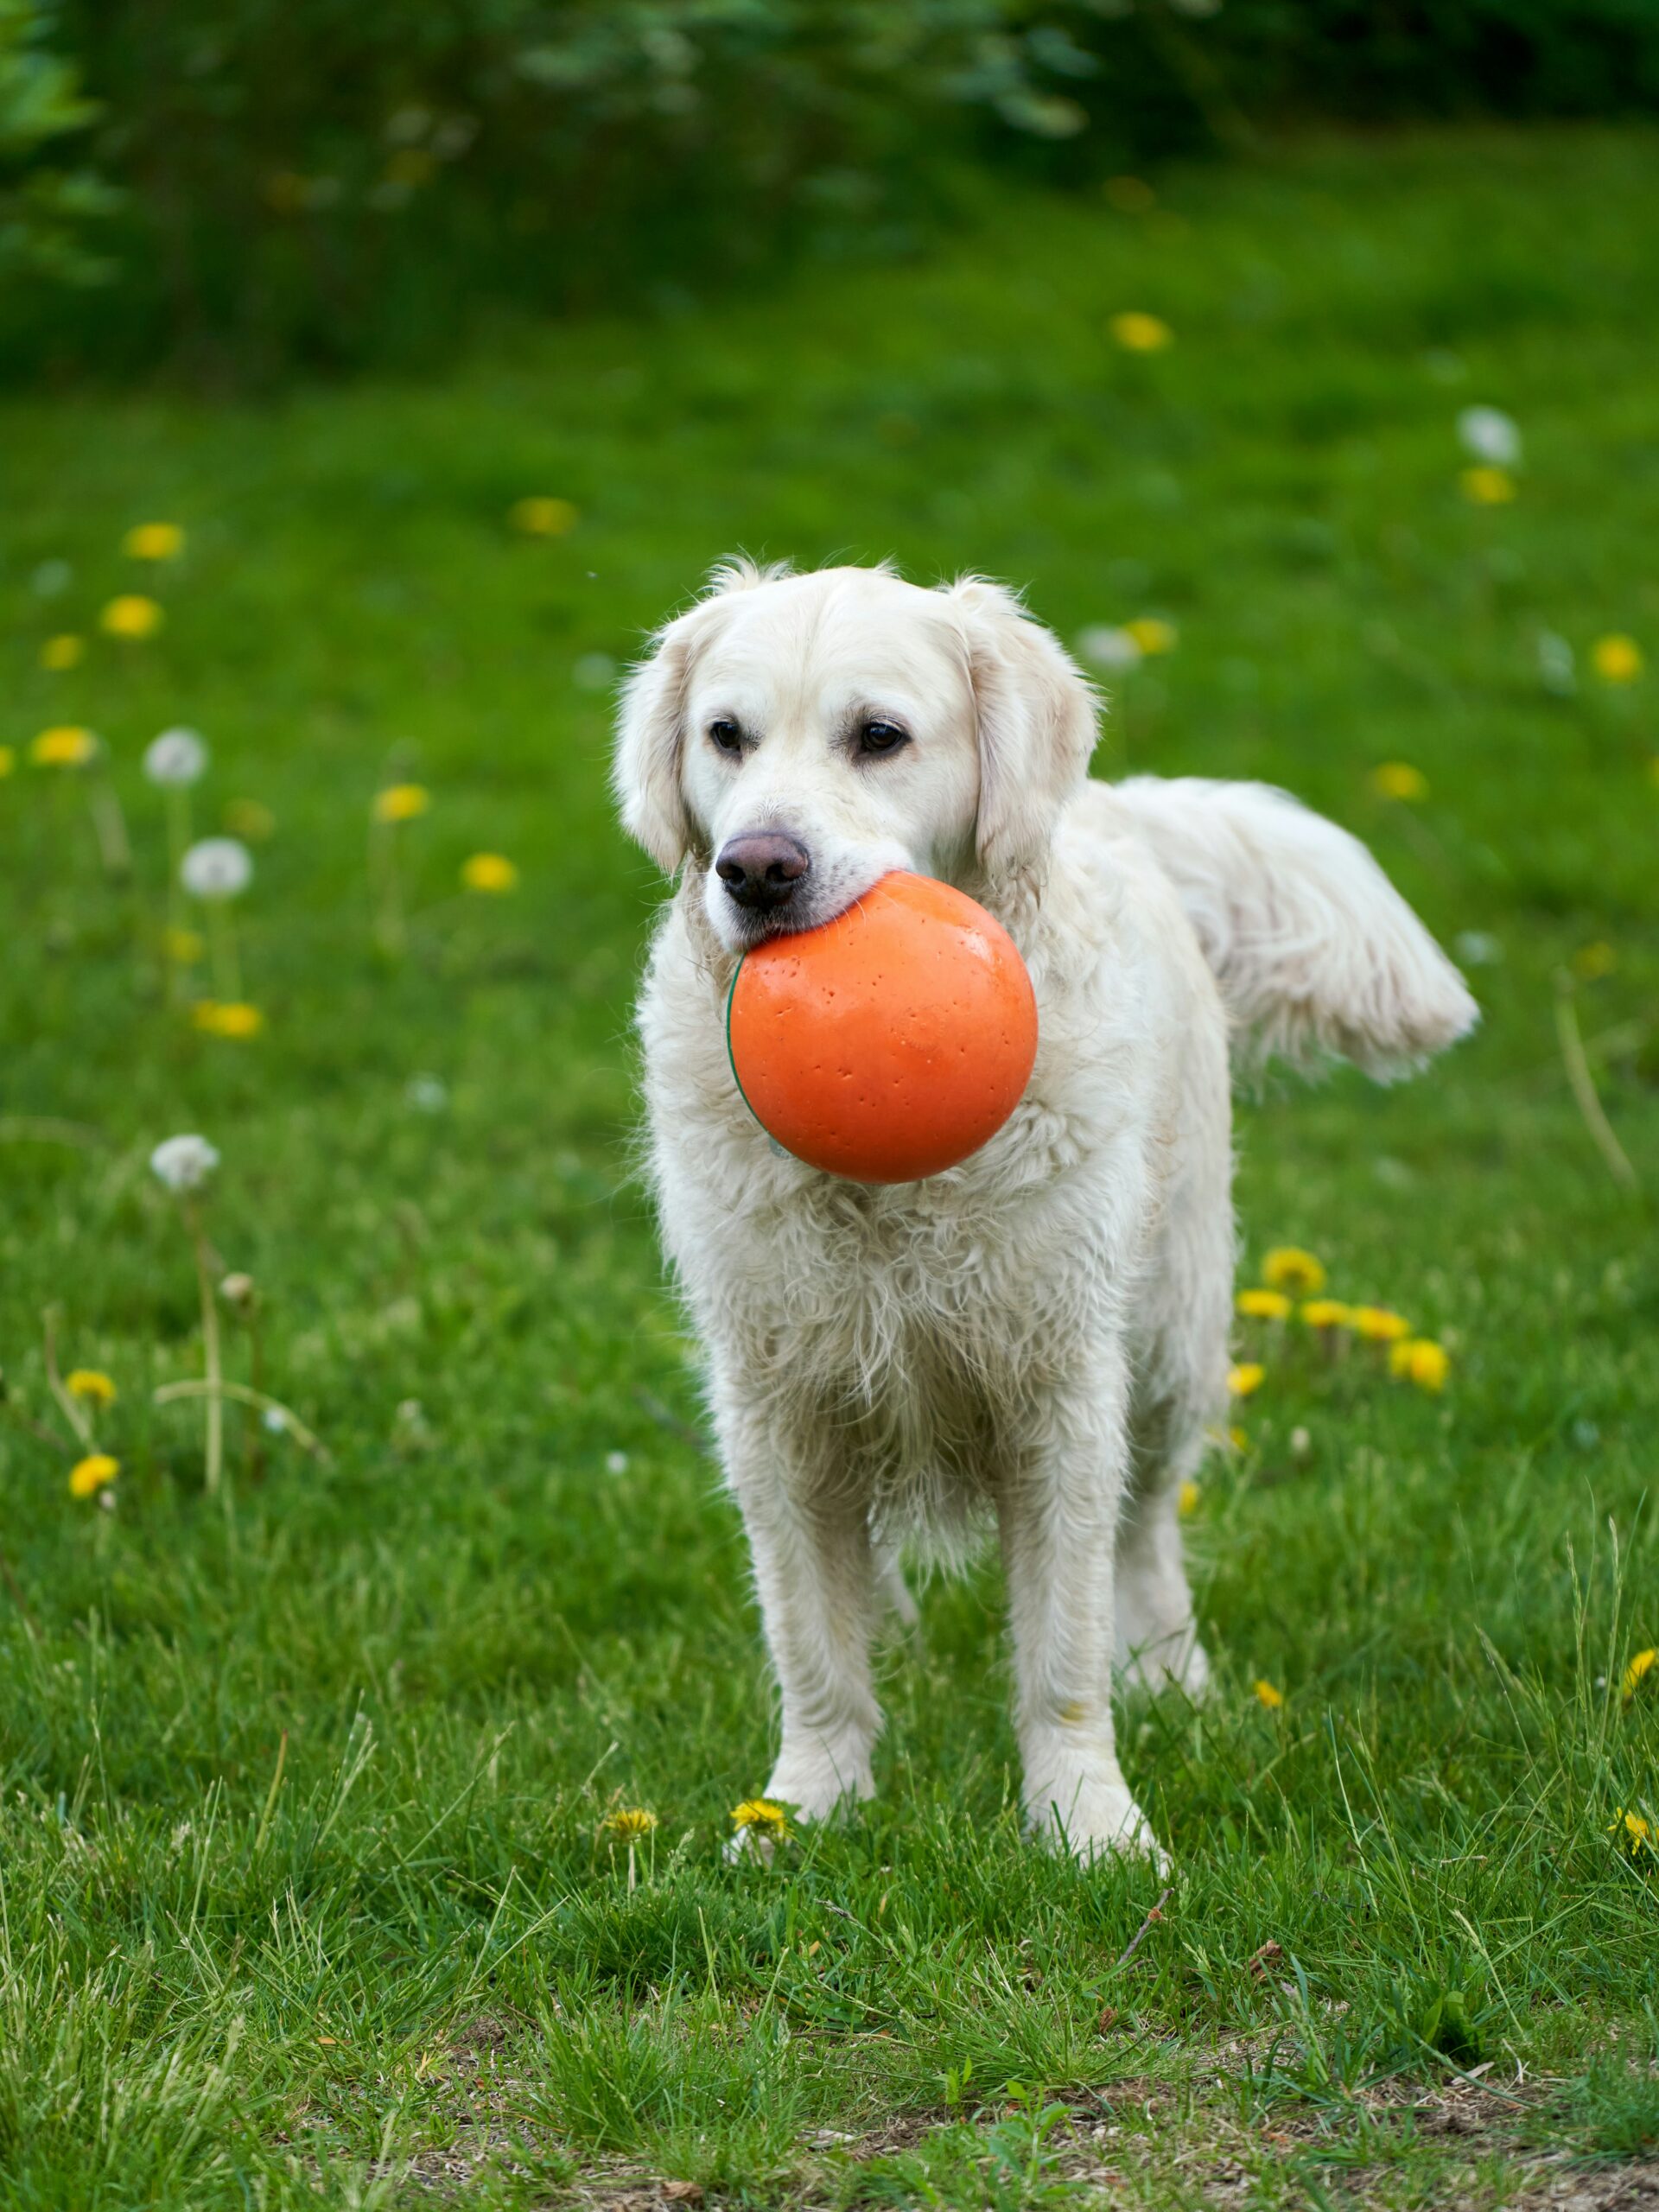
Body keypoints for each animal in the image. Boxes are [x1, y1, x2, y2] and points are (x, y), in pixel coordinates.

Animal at [619, 562, 1478, 1858]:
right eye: (727, 736)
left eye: (879, 737)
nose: (757, 868)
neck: (894, 1194)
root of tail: (1119, 806)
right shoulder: (778, 1399)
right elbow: (813, 1643)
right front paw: (803, 1809)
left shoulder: (1059, 1384)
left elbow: (1064, 1645)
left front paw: (1089, 1822)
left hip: (1171, 1335)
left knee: (1148, 1530)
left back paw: (1172, 1673)